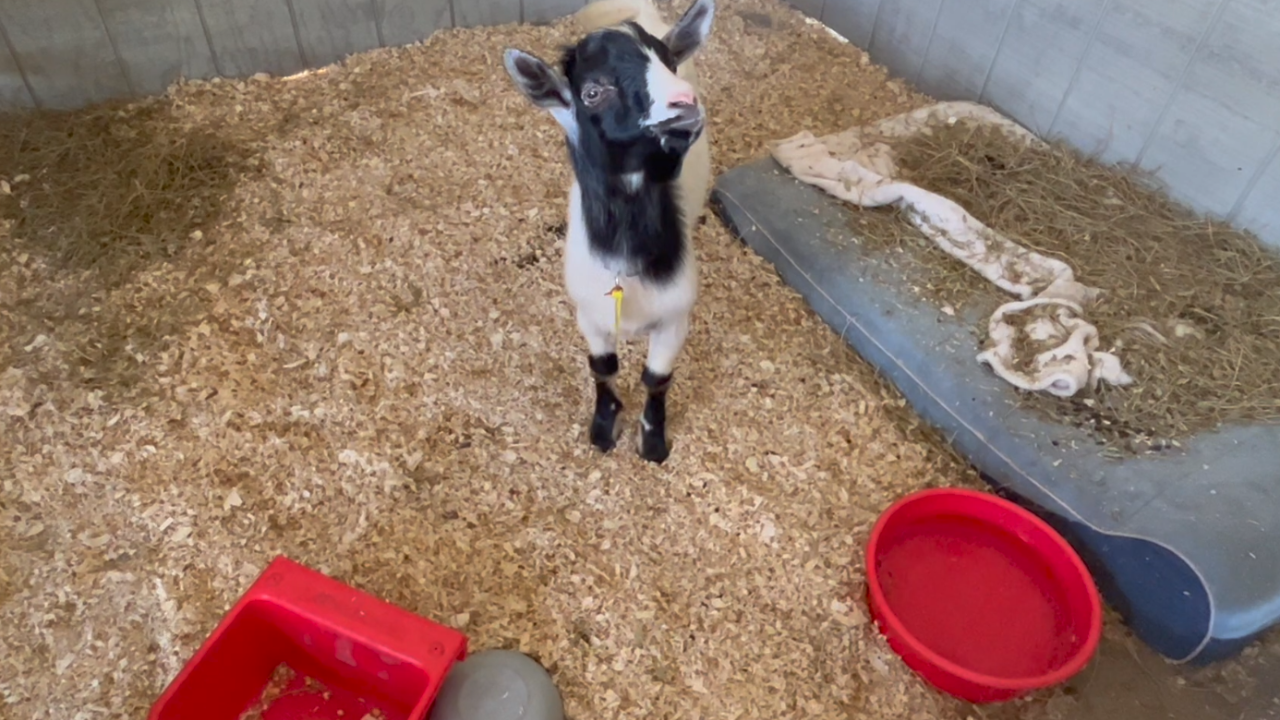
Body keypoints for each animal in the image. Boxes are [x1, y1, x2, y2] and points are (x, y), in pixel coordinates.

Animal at [503, 0, 715, 464]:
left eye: (669, 63)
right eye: (593, 92)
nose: (684, 102)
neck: (625, 256)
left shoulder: (675, 317)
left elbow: (656, 378)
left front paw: (653, 444)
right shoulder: (589, 314)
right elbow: (603, 369)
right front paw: (603, 429)